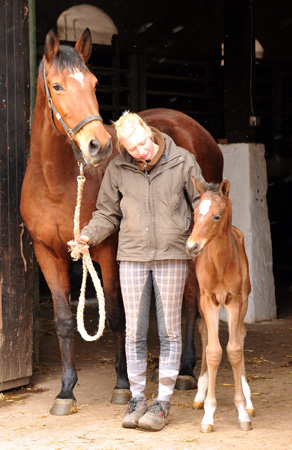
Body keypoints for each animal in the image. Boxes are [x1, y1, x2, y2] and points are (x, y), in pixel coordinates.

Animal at [20, 28, 224, 414]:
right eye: (57, 86)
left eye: (94, 82)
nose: (97, 145)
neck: (55, 181)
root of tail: (196, 128)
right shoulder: (46, 254)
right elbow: (64, 321)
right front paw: (66, 390)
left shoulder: (107, 251)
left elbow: (117, 315)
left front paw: (122, 384)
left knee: (189, 300)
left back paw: (186, 370)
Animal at [187, 178, 253, 432]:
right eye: (195, 213)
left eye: (217, 216)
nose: (192, 246)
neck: (221, 263)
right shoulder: (209, 299)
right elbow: (213, 351)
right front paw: (208, 414)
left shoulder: (234, 300)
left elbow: (233, 350)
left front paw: (242, 411)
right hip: (200, 300)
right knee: (205, 333)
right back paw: (200, 396)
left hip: (244, 299)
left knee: (241, 335)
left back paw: (249, 400)